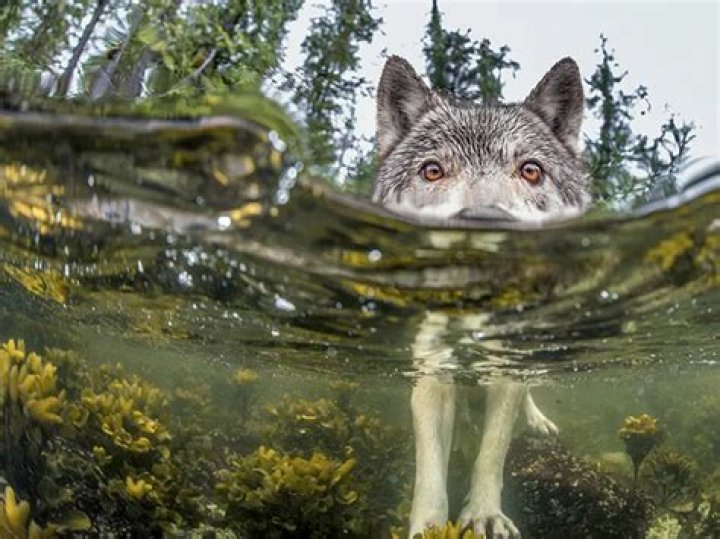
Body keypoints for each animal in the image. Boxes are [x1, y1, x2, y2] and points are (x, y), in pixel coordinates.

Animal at [372, 56, 589, 538]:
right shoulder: (432, 372)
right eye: (433, 170)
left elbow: (493, 452)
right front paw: (428, 526)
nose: (486, 222)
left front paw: (485, 515)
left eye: (531, 170)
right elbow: (430, 469)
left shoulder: (506, 370)